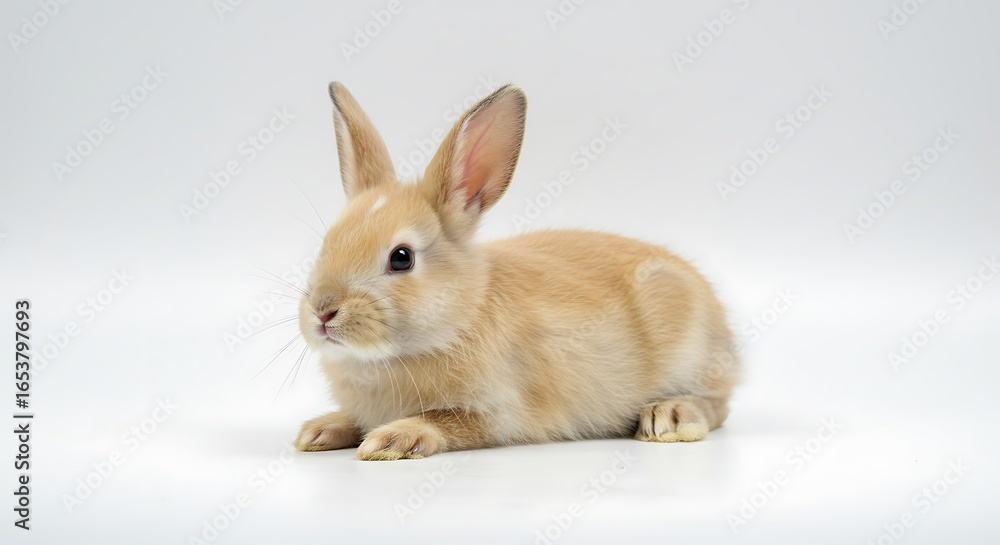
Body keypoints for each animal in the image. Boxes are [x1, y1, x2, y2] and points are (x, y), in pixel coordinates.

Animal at [293, 82, 738, 460]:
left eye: (402, 257)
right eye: (327, 244)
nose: (323, 311)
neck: (459, 317)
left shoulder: (500, 412)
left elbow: (446, 423)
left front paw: (392, 440)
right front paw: (319, 431)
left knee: (717, 406)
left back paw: (669, 417)